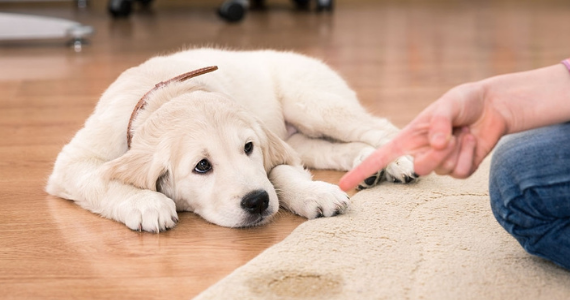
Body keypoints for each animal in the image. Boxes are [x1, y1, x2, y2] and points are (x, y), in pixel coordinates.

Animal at [45, 48, 418, 233]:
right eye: (202, 166)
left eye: (248, 148)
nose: (257, 202)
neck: (166, 93)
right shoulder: (73, 162)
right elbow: (100, 180)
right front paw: (146, 203)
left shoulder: (272, 147)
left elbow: (280, 173)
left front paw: (313, 193)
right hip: (303, 135)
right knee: (334, 148)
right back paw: (367, 166)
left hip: (313, 104)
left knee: (378, 127)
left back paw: (399, 162)